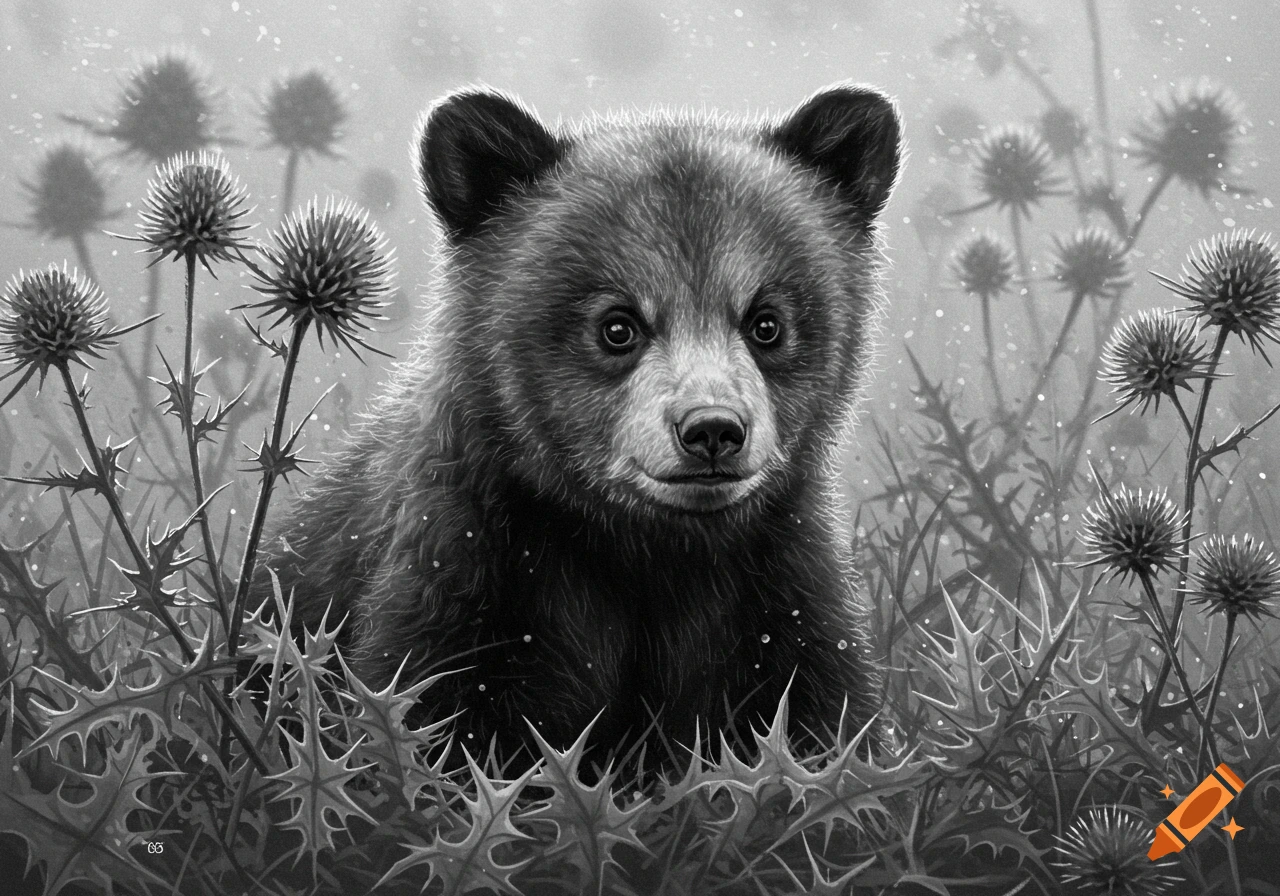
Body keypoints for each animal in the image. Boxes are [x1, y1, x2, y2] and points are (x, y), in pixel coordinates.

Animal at [255, 81, 903, 769]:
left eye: (766, 323)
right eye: (618, 326)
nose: (712, 430)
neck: (651, 552)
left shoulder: (784, 593)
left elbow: (825, 717)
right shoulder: (465, 570)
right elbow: (423, 715)